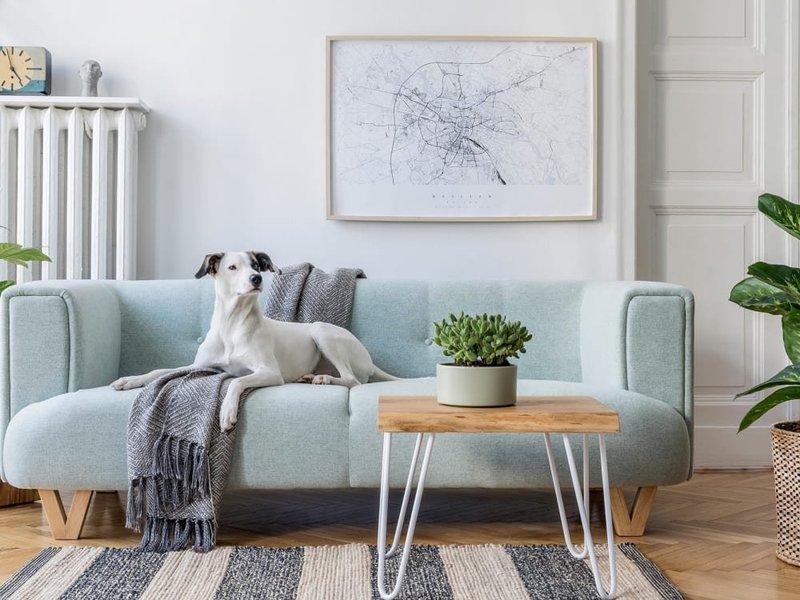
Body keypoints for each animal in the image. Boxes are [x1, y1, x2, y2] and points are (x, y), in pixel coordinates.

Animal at [113, 251, 396, 428]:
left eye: (257, 266)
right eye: (232, 267)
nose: (256, 278)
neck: (232, 324)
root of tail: (369, 360)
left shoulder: (269, 372)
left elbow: (237, 382)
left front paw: (227, 412)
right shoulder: (199, 366)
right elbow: (160, 371)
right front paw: (130, 380)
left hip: (322, 332)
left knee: (352, 380)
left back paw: (323, 378)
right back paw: (312, 376)